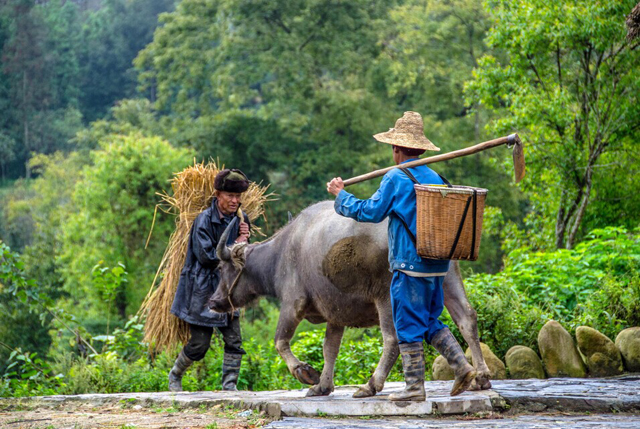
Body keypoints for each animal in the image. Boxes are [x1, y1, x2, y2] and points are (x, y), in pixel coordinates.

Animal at [209, 202, 490, 396]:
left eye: (221, 268)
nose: (213, 302)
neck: (280, 255)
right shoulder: (336, 312)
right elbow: (330, 348)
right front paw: (322, 386)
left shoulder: (293, 303)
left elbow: (280, 341)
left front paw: (305, 373)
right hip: (449, 280)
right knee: (466, 318)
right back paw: (477, 376)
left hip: (387, 297)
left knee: (393, 338)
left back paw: (371, 385)